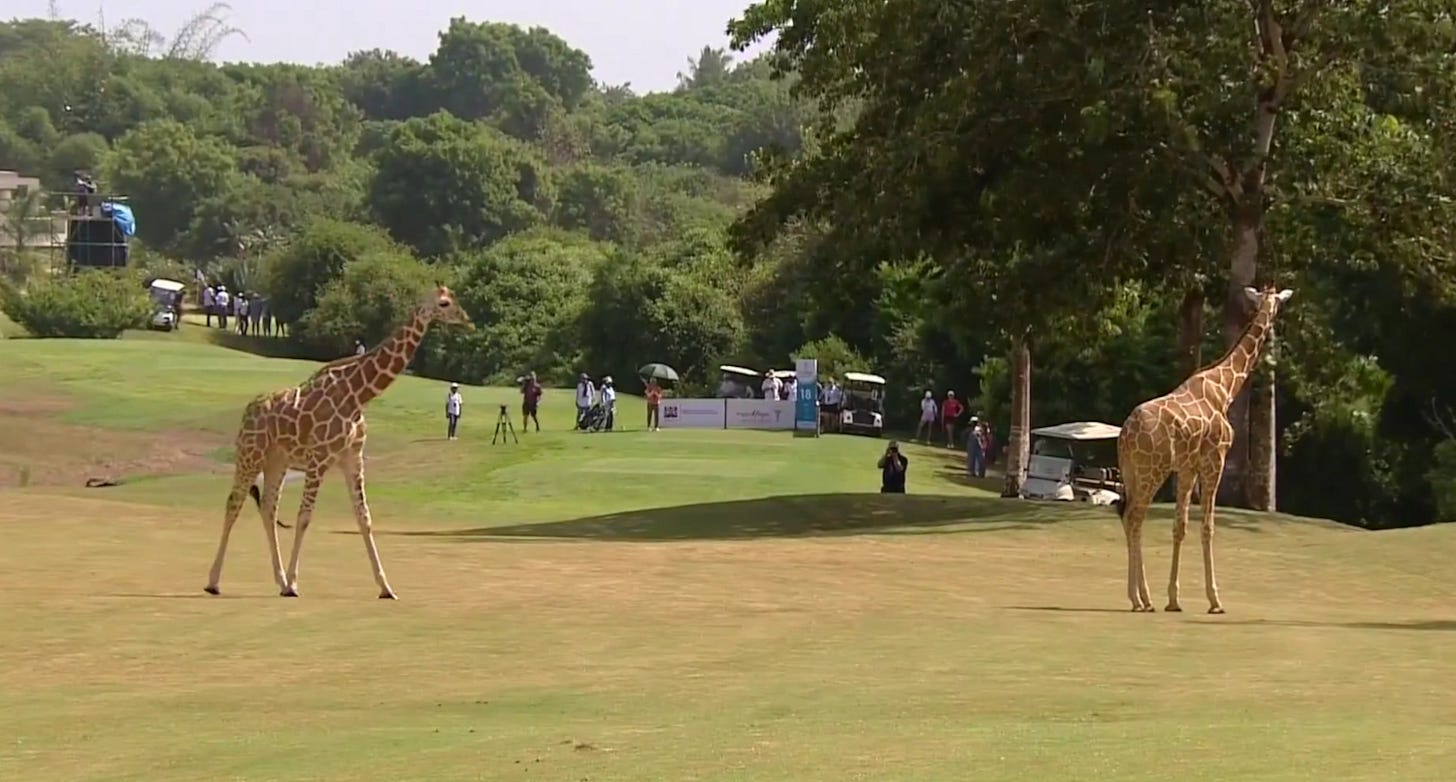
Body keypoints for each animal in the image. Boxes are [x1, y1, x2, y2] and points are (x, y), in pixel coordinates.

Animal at [204, 284, 473, 599]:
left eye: (453, 299)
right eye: (444, 303)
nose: (467, 319)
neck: (358, 395)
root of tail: (248, 410)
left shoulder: (352, 458)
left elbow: (364, 518)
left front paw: (386, 587)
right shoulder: (319, 458)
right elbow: (305, 517)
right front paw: (295, 583)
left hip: (276, 461)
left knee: (269, 507)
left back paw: (278, 581)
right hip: (250, 453)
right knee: (234, 503)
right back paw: (214, 582)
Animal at [1112, 285, 1294, 614]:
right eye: (1275, 303)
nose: (1275, 322)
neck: (1225, 387)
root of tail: (1126, 434)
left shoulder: (1187, 468)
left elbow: (1180, 525)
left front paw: (1173, 599)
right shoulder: (1214, 460)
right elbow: (1208, 526)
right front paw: (1215, 600)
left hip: (1131, 471)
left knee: (1127, 516)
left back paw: (1142, 598)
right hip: (1152, 472)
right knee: (1134, 517)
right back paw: (1139, 598)